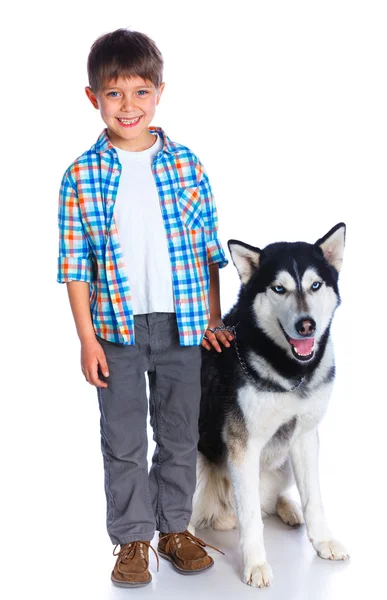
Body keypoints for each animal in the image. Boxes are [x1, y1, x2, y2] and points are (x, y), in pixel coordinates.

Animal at [192, 223, 352, 584]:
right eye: (279, 288)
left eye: (315, 285)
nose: (306, 324)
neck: (293, 374)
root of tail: (221, 513)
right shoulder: (243, 445)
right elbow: (251, 516)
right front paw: (255, 565)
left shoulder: (306, 437)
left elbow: (314, 498)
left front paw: (323, 541)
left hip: (284, 464)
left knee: (271, 499)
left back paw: (288, 508)